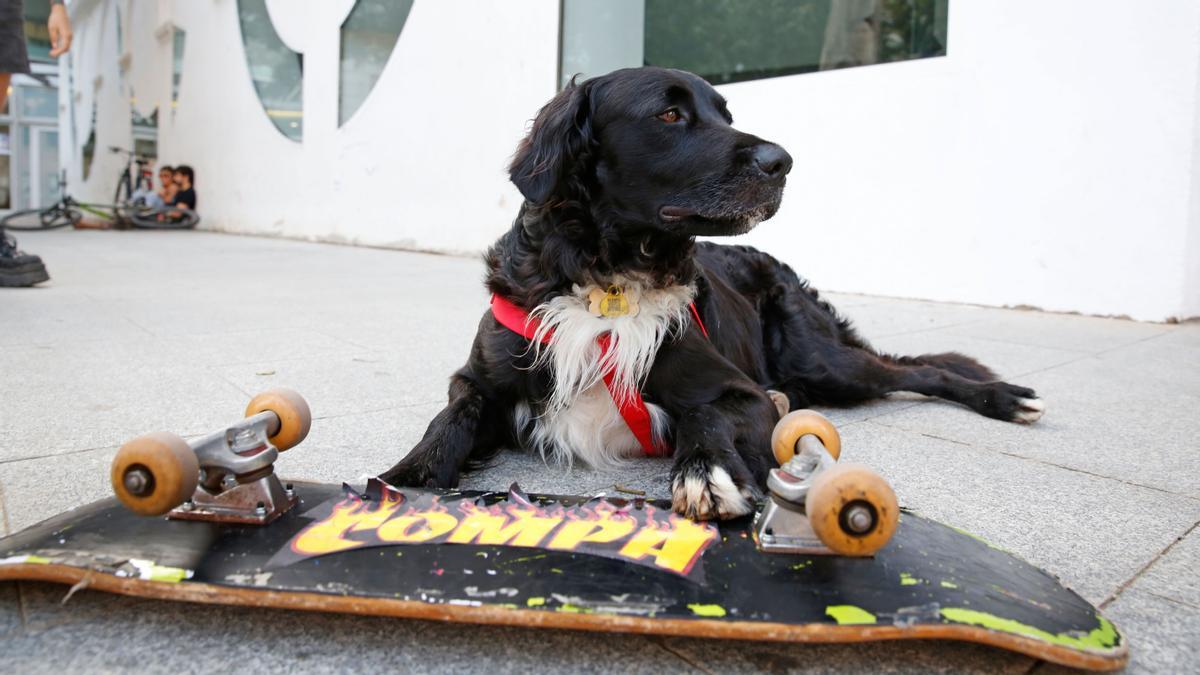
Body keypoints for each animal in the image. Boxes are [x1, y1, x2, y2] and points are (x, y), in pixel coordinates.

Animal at [381, 68, 1041, 516]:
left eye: (726, 113)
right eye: (670, 116)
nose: (784, 161)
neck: (606, 278)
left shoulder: (740, 390)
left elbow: (706, 413)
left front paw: (705, 472)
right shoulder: (482, 377)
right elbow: (453, 415)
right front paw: (407, 477)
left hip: (825, 365)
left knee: (919, 370)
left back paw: (1003, 397)